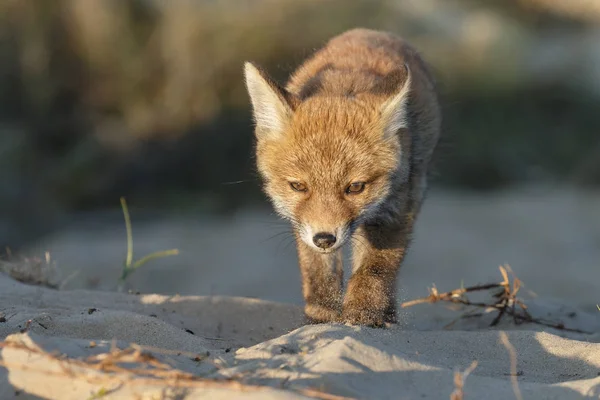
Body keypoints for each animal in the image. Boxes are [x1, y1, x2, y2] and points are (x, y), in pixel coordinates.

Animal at [243, 28, 440, 328]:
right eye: (298, 186)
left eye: (355, 187)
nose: (325, 239)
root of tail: (369, 32)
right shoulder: (304, 225)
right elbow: (318, 275)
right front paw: (321, 320)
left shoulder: (396, 209)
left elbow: (375, 270)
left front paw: (362, 315)